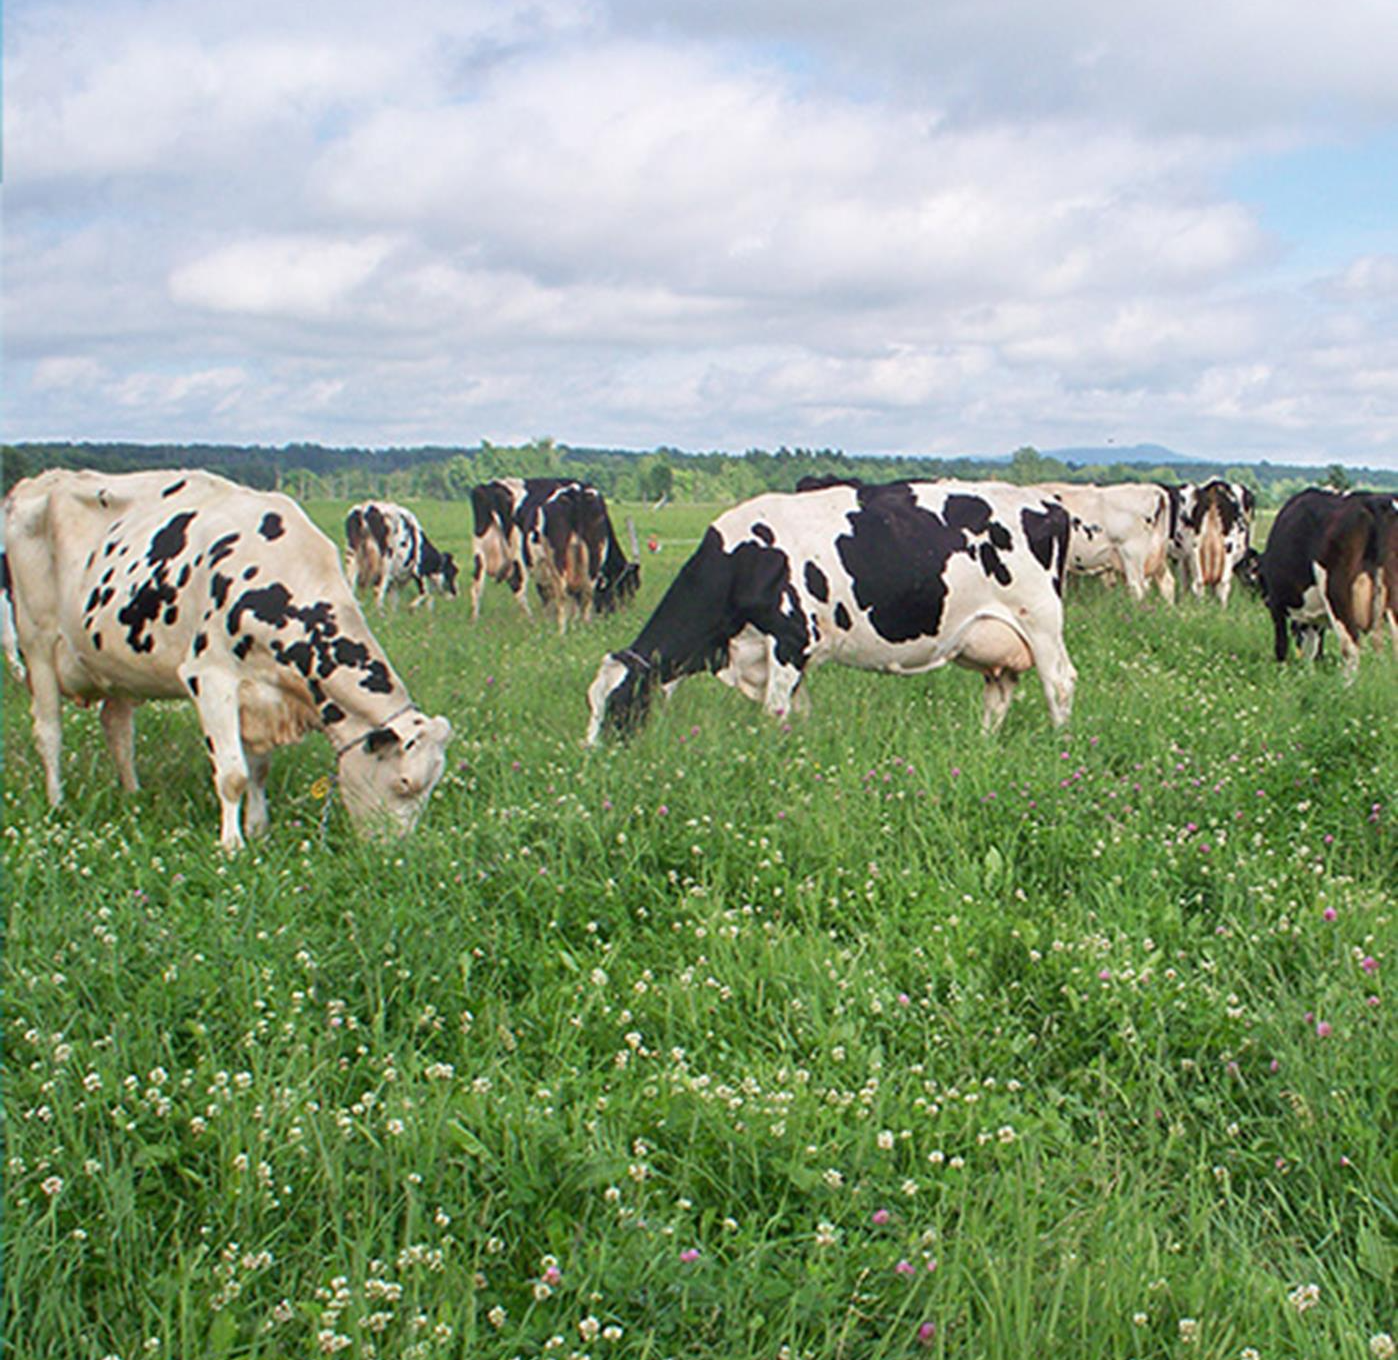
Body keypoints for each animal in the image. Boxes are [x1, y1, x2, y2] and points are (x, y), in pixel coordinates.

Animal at [2, 469, 450, 849]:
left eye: (429, 790)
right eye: (404, 783)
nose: (394, 852)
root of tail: (37, 483)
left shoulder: (261, 694)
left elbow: (258, 769)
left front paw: (258, 828)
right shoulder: (211, 677)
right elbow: (233, 774)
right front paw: (232, 845)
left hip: (113, 661)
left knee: (118, 730)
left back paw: (132, 794)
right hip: (38, 645)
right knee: (49, 732)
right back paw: (57, 803)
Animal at [584, 480, 1073, 743]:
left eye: (620, 704)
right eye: (591, 702)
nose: (593, 755)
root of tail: (1047, 503)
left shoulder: (788, 639)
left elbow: (774, 714)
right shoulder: (784, 654)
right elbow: (798, 714)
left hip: (1040, 622)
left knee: (1060, 684)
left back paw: (1060, 747)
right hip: (996, 637)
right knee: (999, 694)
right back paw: (983, 745)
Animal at [1263, 486, 1392, 679]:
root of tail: (1370, 501)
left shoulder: (1276, 603)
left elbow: (1282, 645)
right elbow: (1313, 649)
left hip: (1337, 593)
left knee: (1351, 646)